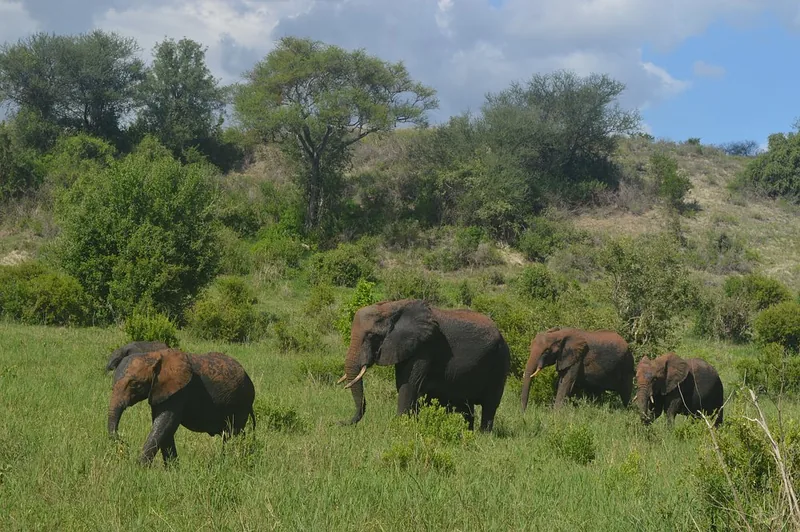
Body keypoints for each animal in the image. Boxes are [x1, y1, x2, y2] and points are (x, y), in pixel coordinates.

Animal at [107, 348, 256, 465]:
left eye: (136, 385)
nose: (124, 443)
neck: (154, 355)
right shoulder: (160, 391)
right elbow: (163, 428)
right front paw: (172, 470)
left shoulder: (179, 391)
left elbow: (165, 424)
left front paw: (139, 468)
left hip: (241, 402)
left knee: (233, 434)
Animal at [337, 299, 511, 432]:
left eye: (372, 336)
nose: (339, 422)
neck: (392, 307)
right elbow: (403, 384)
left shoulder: (424, 347)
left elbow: (409, 385)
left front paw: (400, 428)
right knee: (466, 406)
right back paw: (468, 432)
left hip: (500, 362)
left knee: (490, 405)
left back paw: (483, 435)